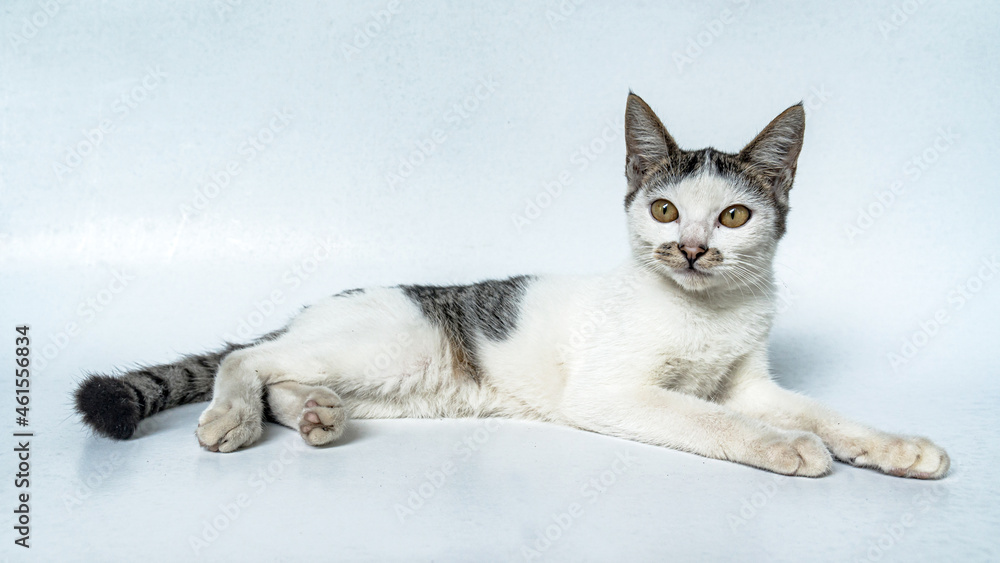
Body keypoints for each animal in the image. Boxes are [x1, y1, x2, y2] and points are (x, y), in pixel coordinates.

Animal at [74, 93, 948, 480]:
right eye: (664, 210)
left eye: (734, 216)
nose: (694, 250)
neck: (709, 313)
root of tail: (310, 308)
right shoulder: (616, 392)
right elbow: (712, 417)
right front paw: (787, 446)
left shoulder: (752, 383)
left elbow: (819, 411)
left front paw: (895, 444)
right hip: (388, 346)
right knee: (245, 360)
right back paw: (234, 415)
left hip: (403, 384)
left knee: (285, 375)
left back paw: (316, 414)